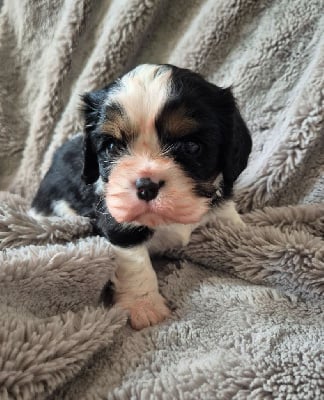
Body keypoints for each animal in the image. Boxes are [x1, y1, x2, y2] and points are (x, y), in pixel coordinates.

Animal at [30, 64, 252, 330]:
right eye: (112, 147)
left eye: (191, 147)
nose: (146, 186)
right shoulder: (118, 223)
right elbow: (136, 265)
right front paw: (144, 306)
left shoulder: (220, 206)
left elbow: (230, 221)